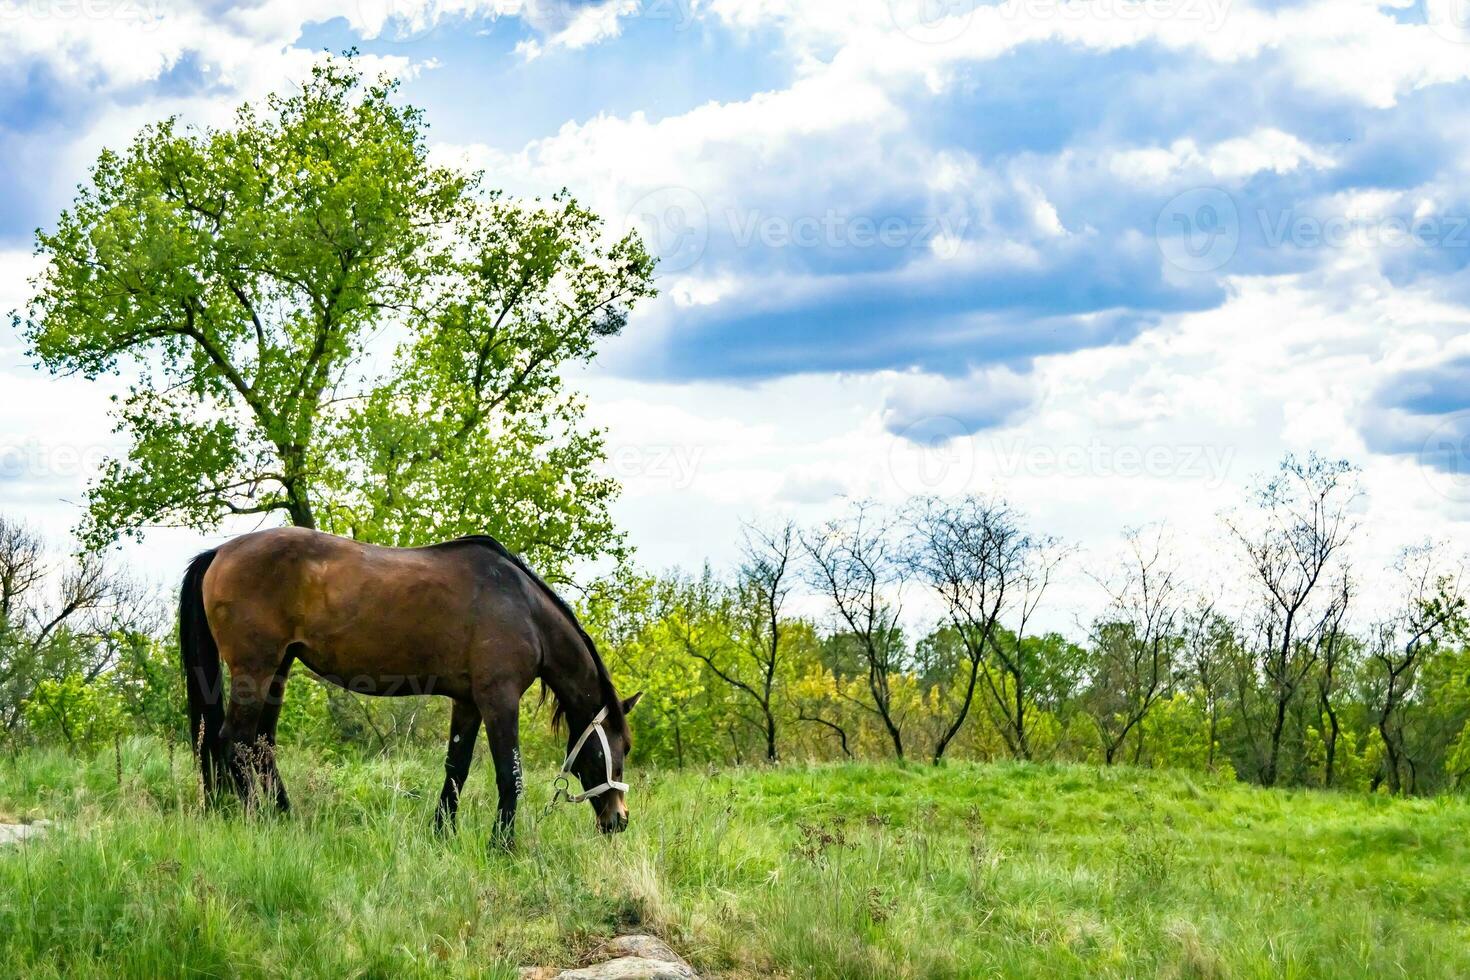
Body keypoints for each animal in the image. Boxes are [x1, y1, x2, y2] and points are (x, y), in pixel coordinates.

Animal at [174, 525, 640, 840]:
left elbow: (457, 769)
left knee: (261, 745)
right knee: (234, 740)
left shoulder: (467, 703)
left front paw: (442, 834)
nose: (618, 819)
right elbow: (511, 775)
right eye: (614, 749)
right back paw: (259, 819)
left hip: (278, 670)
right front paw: (503, 845)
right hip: (255, 669)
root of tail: (219, 551)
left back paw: (285, 818)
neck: (521, 606)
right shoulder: (499, 700)